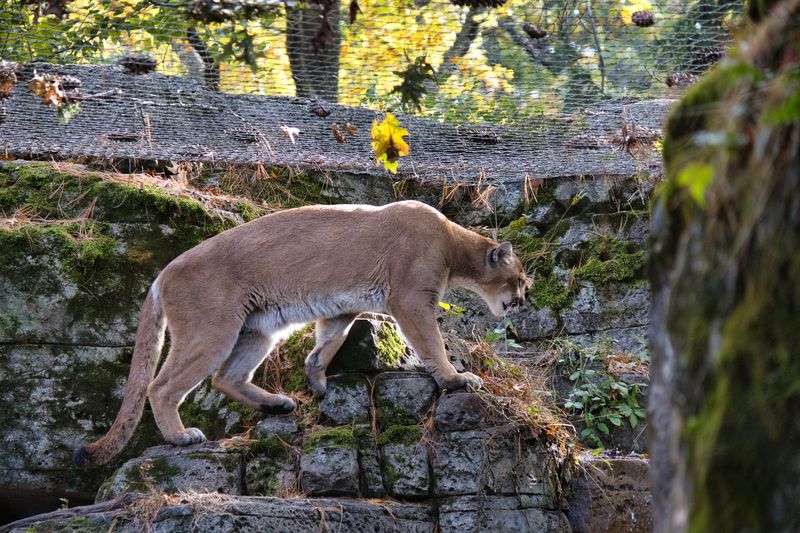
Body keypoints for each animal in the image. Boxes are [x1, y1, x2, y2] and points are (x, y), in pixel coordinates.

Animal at [73, 200, 530, 466]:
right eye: (520, 278)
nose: (525, 299)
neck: (454, 244)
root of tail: (163, 271)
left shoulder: (344, 306)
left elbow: (328, 342)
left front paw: (317, 379)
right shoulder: (412, 300)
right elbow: (431, 342)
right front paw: (456, 378)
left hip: (258, 329)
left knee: (226, 377)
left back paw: (276, 404)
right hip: (213, 330)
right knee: (162, 386)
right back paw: (181, 436)